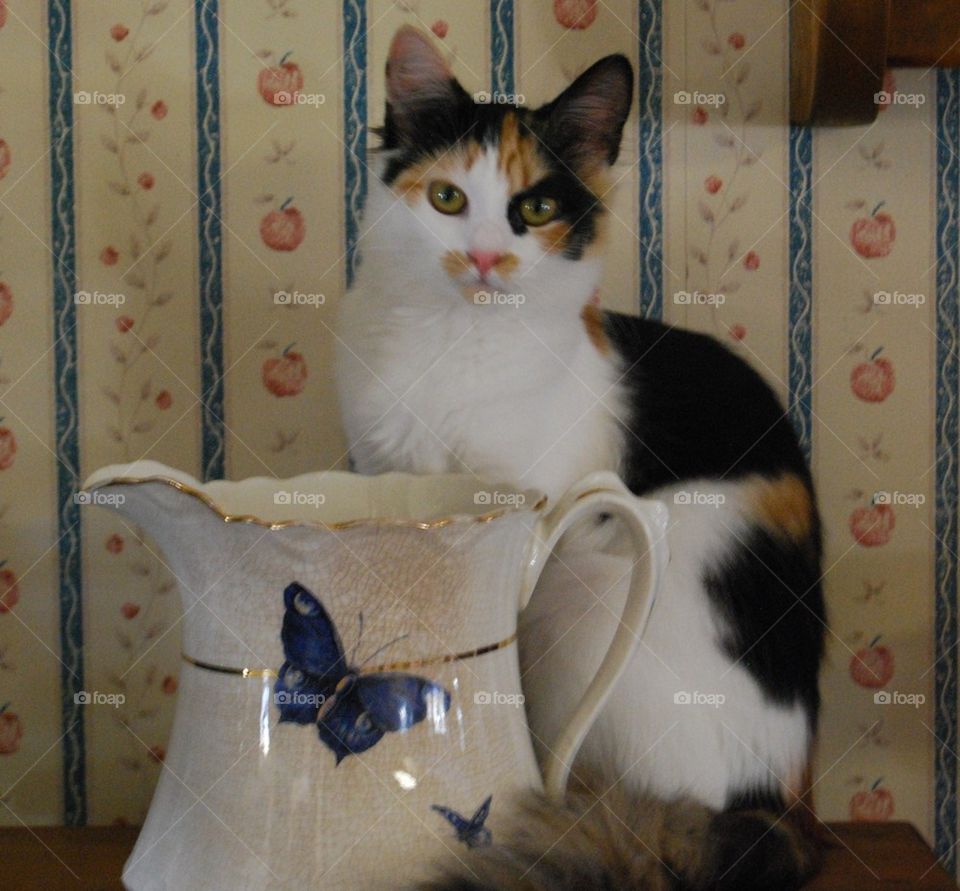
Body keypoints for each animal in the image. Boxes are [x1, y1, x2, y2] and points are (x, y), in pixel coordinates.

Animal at [338, 26, 824, 891]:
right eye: (448, 199)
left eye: (535, 209)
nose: (485, 260)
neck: (453, 345)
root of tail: (776, 805)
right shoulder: (378, 472)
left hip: (591, 607)